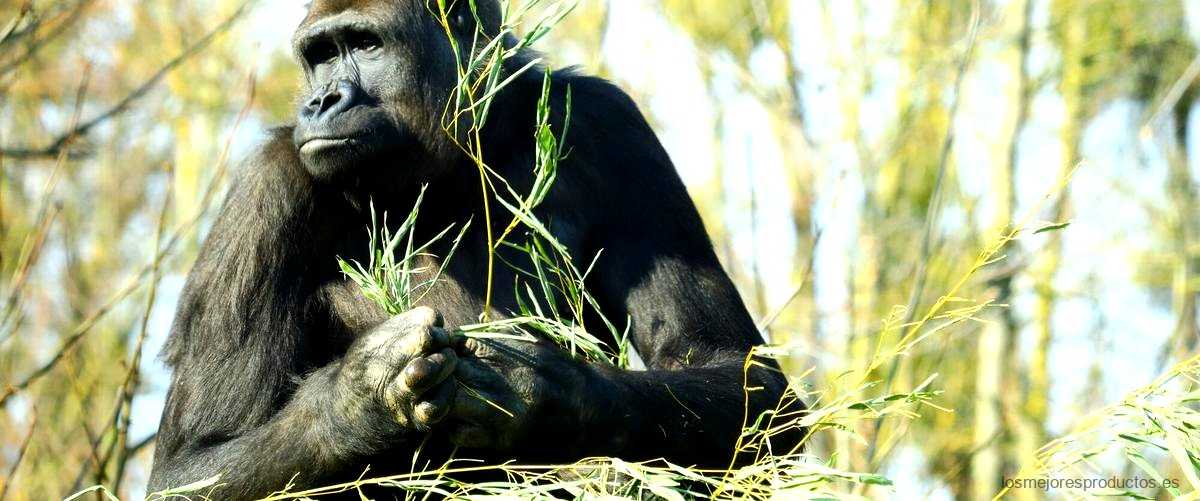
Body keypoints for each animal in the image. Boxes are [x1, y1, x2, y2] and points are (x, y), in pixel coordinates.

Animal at [150, 0, 801, 496]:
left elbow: (745, 380)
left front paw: (541, 394)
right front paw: (359, 398)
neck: (457, 158)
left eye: (363, 43)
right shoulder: (267, 189)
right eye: (320, 56)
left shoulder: (613, 126)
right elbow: (190, 466)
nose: (320, 101)